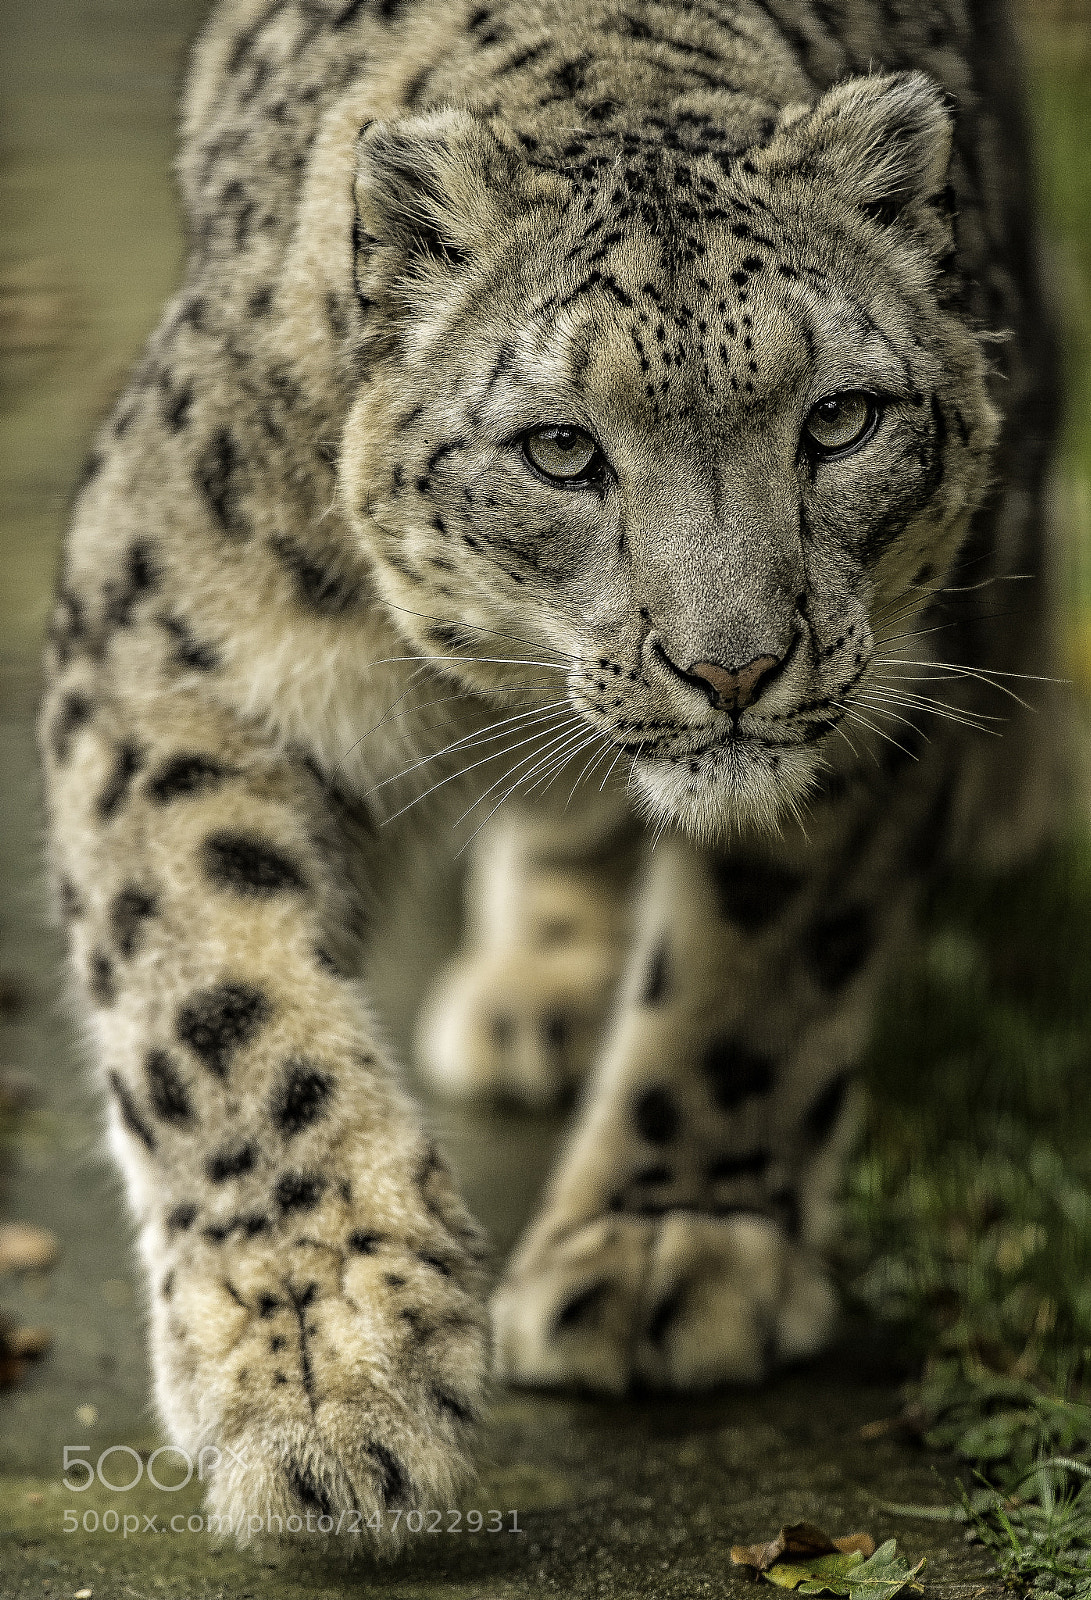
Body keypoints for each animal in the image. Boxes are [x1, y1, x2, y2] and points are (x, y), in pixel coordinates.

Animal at [40, 0, 1062, 1546]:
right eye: (561, 449)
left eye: (836, 421)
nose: (731, 666)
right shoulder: (170, 654)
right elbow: (222, 1008)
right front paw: (325, 1379)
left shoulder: (894, 685)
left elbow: (762, 973)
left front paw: (665, 1255)